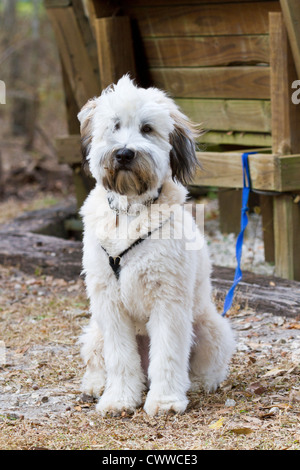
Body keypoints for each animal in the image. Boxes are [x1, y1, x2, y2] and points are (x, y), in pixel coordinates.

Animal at [77, 75, 234, 416]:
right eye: (115, 126)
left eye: (147, 128)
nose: (124, 154)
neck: (130, 211)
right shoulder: (109, 304)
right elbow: (120, 358)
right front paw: (119, 398)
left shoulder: (168, 300)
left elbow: (168, 355)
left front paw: (165, 400)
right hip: (95, 331)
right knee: (100, 360)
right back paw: (96, 384)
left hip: (208, 327)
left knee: (205, 365)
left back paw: (197, 383)